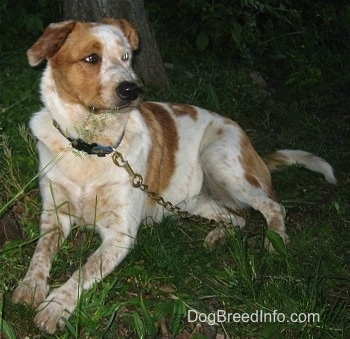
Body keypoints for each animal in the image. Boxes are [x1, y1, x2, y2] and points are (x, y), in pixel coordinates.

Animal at [13, 19, 336, 334]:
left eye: (126, 57)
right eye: (91, 58)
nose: (133, 90)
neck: (91, 148)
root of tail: (252, 146)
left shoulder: (120, 234)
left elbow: (84, 271)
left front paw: (56, 307)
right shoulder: (54, 215)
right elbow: (40, 253)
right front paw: (30, 286)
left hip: (219, 160)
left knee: (273, 206)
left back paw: (275, 240)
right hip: (191, 200)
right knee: (237, 218)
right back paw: (218, 236)